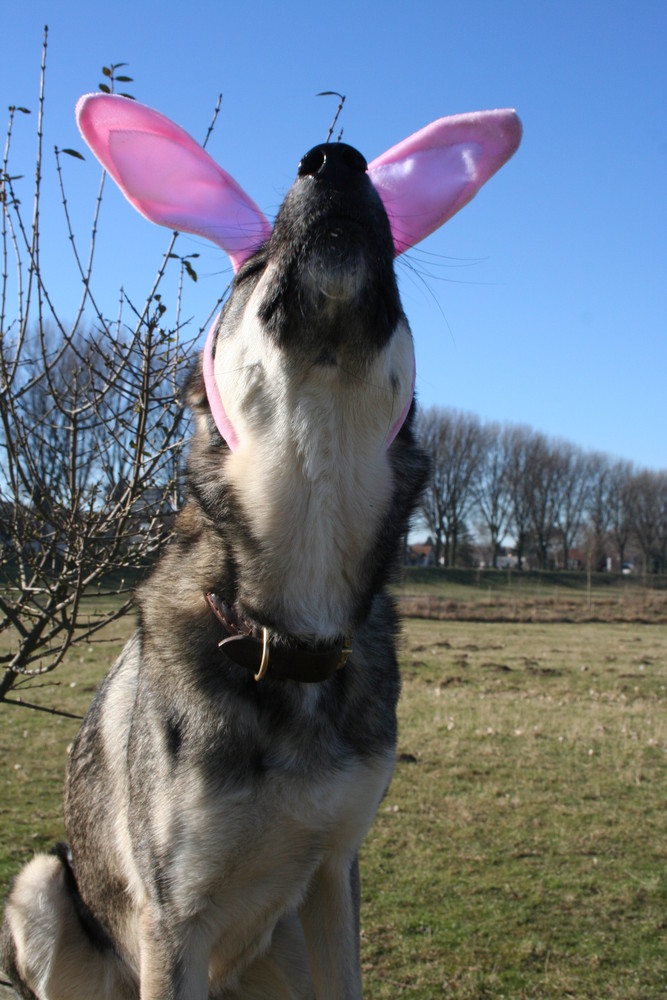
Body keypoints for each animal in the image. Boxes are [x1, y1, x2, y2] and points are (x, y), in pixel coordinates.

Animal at [1, 95, 520, 1000]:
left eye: (392, 261)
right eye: (249, 267)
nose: (336, 159)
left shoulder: (333, 877)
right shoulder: (173, 923)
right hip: (42, 886)